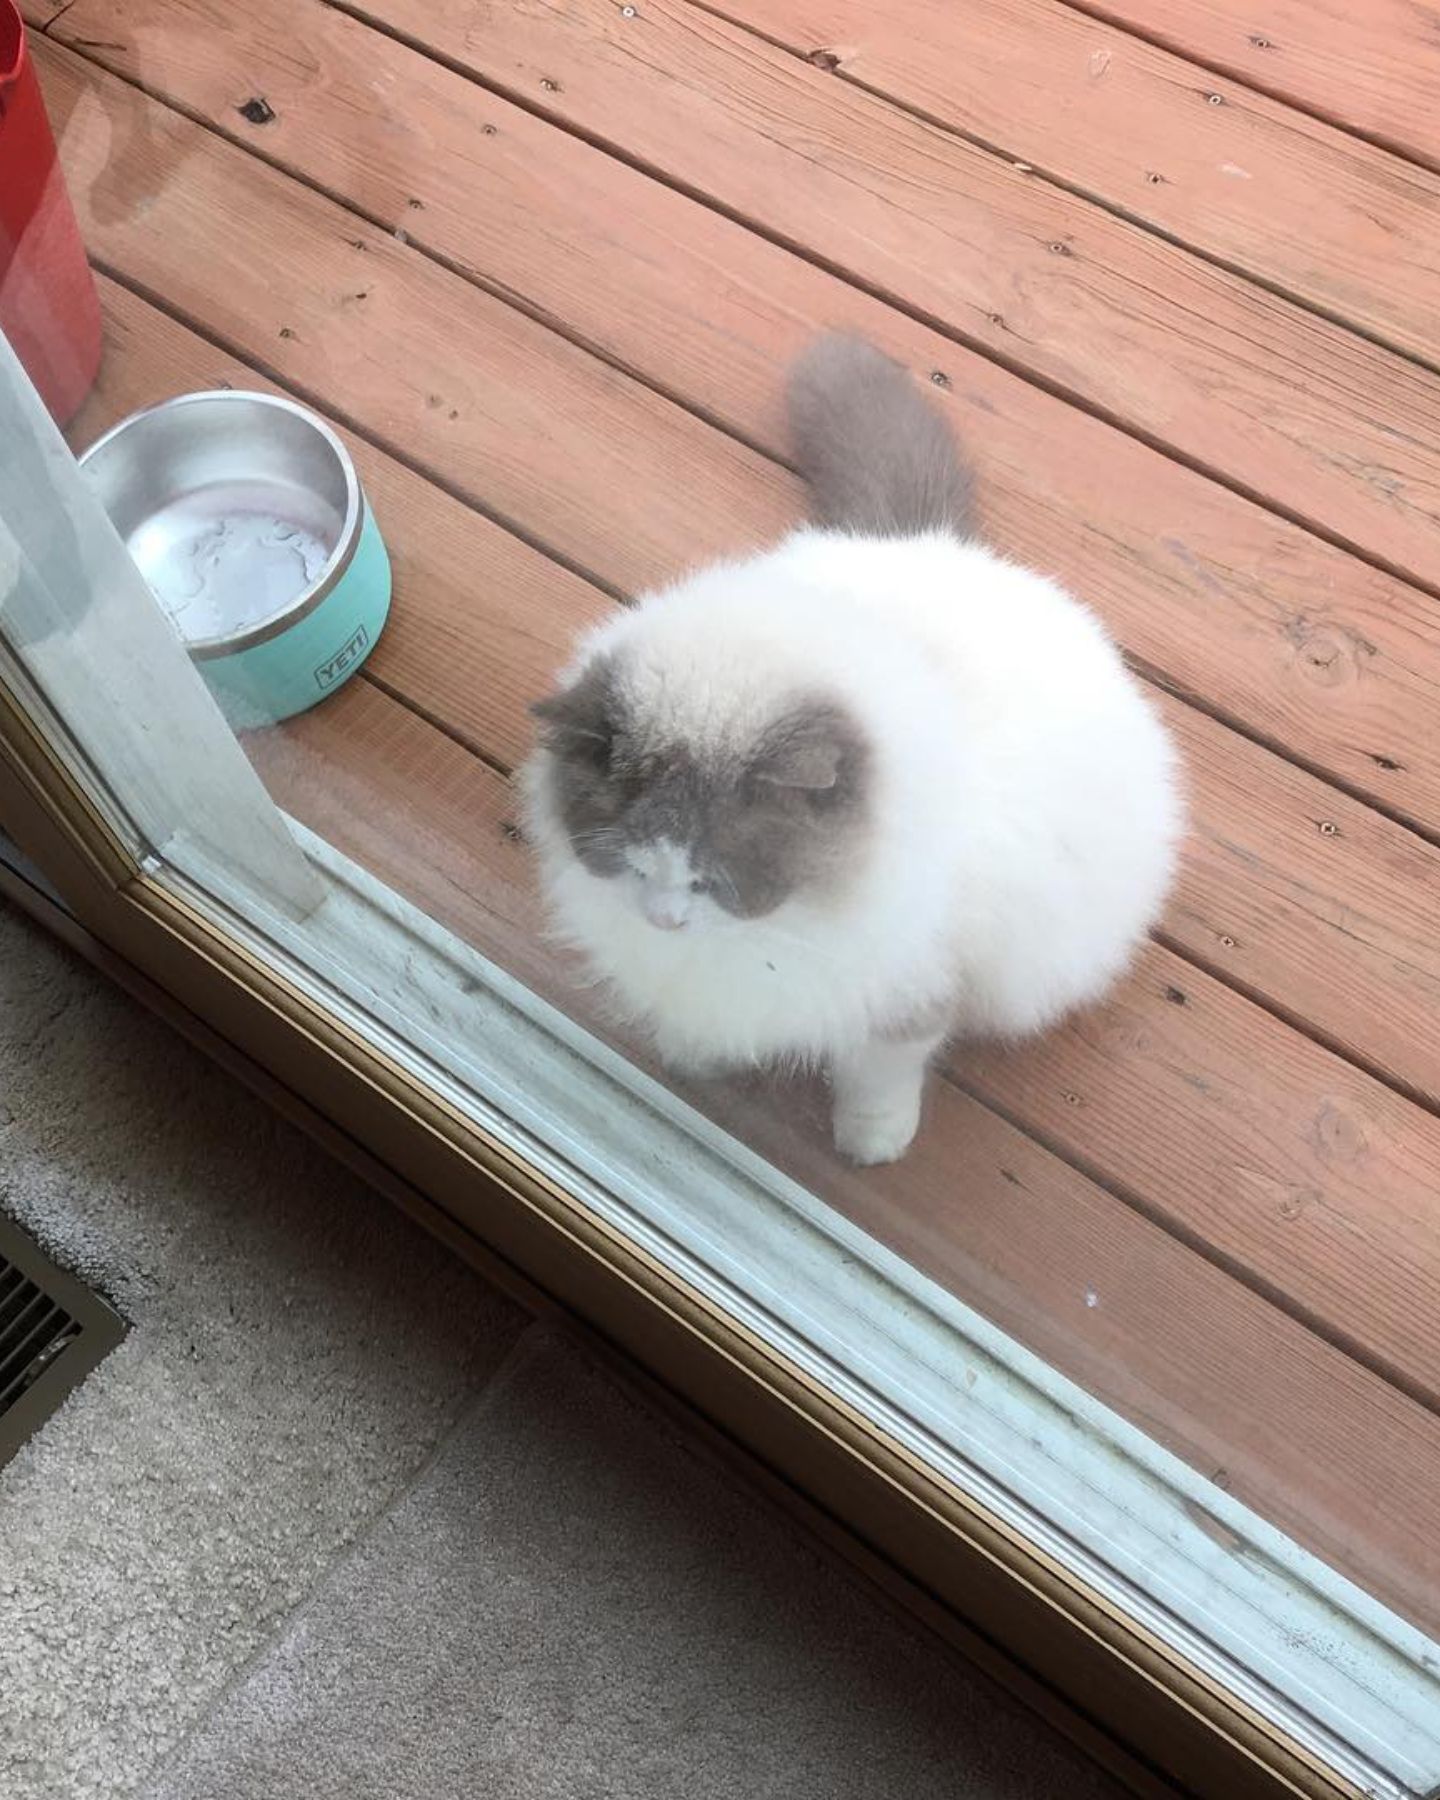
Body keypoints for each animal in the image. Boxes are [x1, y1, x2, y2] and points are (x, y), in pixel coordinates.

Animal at [522, 338, 1173, 1166]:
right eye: (631, 865)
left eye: (711, 880)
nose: (664, 921)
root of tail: (934, 544)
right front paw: (696, 1058)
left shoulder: (909, 994)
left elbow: (879, 1080)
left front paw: (871, 1145)